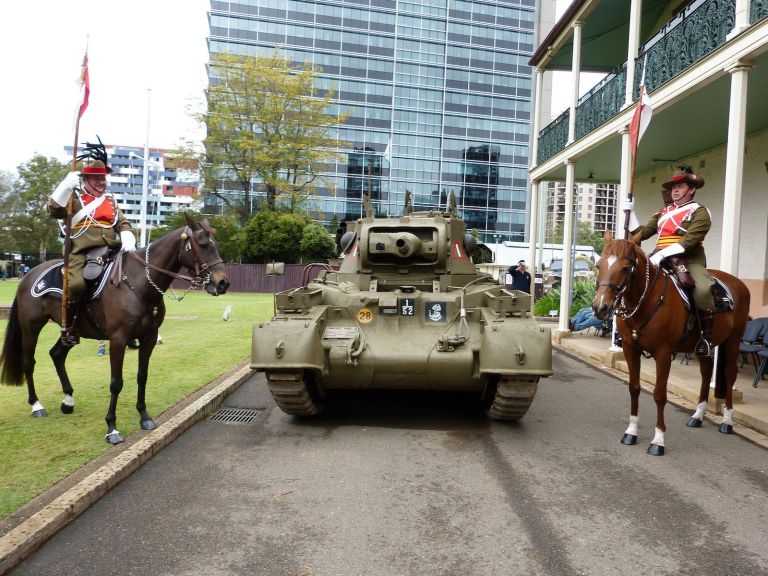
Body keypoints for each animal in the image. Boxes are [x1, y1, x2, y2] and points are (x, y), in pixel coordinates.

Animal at [0, 216, 230, 446]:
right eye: (202, 244)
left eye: (216, 244)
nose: (223, 282)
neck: (140, 282)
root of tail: (29, 275)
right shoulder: (118, 340)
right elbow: (116, 383)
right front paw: (111, 427)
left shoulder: (149, 338)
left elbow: (142, 376)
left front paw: (144, 417)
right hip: (31, 328)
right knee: (29, 362)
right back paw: (36, 405)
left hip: (71, 333)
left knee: (56, 355)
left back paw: (68, 400)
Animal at [592, 230, 752, 454]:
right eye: (599, 265)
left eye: (624, 268)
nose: (600, 307)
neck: (645, 300)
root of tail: (738, 282)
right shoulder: (630, 349)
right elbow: (634, 388)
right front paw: (631, 431)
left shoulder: (663, 353)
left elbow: (660, 394)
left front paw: (658, 440)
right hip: (705, 345)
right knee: (706, 372)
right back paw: (698, 415)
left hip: (733, 340)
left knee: (729, 375)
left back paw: (727, 421)